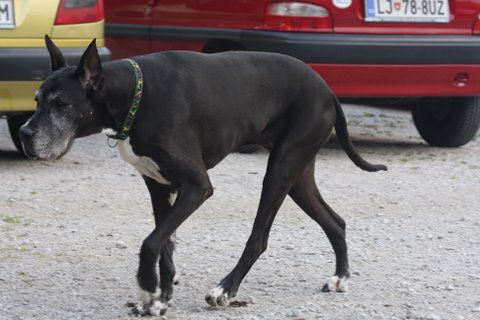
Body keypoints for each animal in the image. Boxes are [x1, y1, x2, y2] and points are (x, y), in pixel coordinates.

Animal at [19, 36, 386, 316]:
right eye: (36, 99)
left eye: (60, 103)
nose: (24, 133)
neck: (134, 95)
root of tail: (326, 88)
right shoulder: (158, 187)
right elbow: (165, 244)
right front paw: (161, 299)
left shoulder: (196, 186)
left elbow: (150, 243)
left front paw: (147, 290)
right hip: (298, 176)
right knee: (335, 221)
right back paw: (340, 278)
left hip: (280, 172)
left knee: (259, 238)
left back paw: (224, 290)